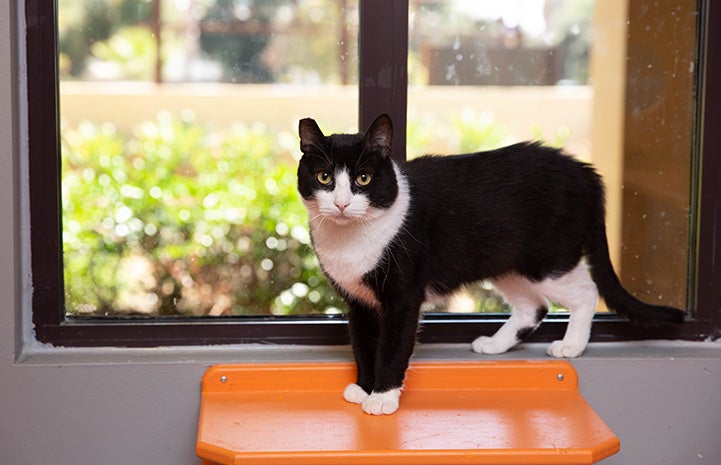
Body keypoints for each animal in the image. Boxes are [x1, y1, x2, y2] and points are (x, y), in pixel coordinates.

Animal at [296, 112, 684, 414]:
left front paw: (382, 397)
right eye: (324, 177)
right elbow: (364, 345)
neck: (350, 240)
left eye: (363, 178)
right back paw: (496, 344)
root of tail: (584, 170)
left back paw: (571, 346)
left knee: (585, 291)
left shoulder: (404, 298)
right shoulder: (357, 300)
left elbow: (392, 347)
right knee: (534, 307)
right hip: (505, 260)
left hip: (547, 259)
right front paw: (364, 387)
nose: (342, 204)